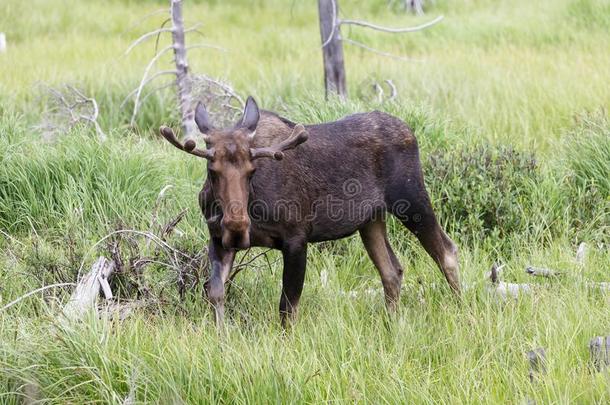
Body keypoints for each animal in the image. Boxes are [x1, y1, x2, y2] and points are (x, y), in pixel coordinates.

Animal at [159, 96, 458, 326]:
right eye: (212, 170)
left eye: (252, 170)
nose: (236, 225)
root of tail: (409, 131)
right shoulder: (218, 240)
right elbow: (215, 293)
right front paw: (221, 337)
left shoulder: (296, 238)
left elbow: (287, 307)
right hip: (371, 220)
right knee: (391, 271)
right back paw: (392, 324)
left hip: (411, 200)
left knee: (446, 251)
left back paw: (460, 310)